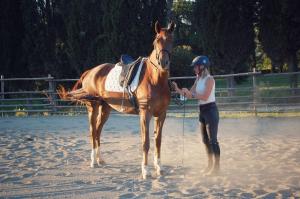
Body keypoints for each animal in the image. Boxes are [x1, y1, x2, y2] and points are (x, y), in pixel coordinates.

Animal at [58, 21, 175, 179]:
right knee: (93, 131)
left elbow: (158, 141)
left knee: (98, 131)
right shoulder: (145, 114)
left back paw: (100, 159)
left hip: (105, 109)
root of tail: (90, 72)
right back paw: (93, 161)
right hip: (93, 107)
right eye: (156, 40)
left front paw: (159, 168)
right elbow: (145, 142)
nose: (163, 63)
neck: (154, 79)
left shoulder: (161, 115)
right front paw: (145, 171)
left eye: (171, 40)